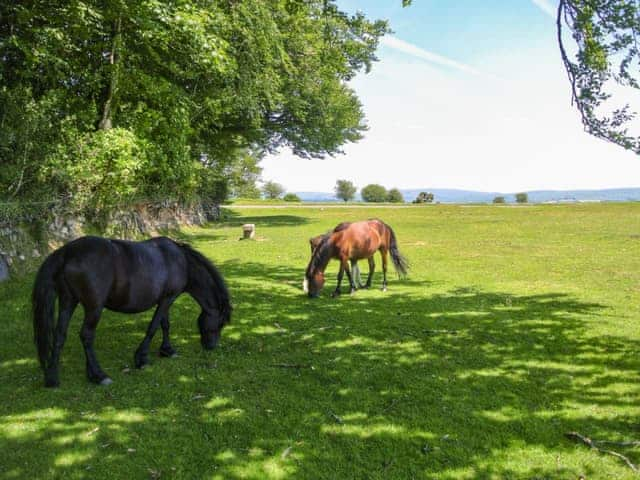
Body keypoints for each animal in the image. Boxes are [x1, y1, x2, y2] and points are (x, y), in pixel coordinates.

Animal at [31, 234, 232, 388]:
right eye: (220, 323)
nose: (211, 346)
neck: (181, 261)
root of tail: (67, 252)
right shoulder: (168, 299)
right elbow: (153, 327)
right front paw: (141, 358)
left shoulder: (165, 299)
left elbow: (165, 324)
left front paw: (167, 350)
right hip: (93, 308)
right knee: (86, 336)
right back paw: (99, 375)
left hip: (68, 301)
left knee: (59, 335)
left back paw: (53, 378)